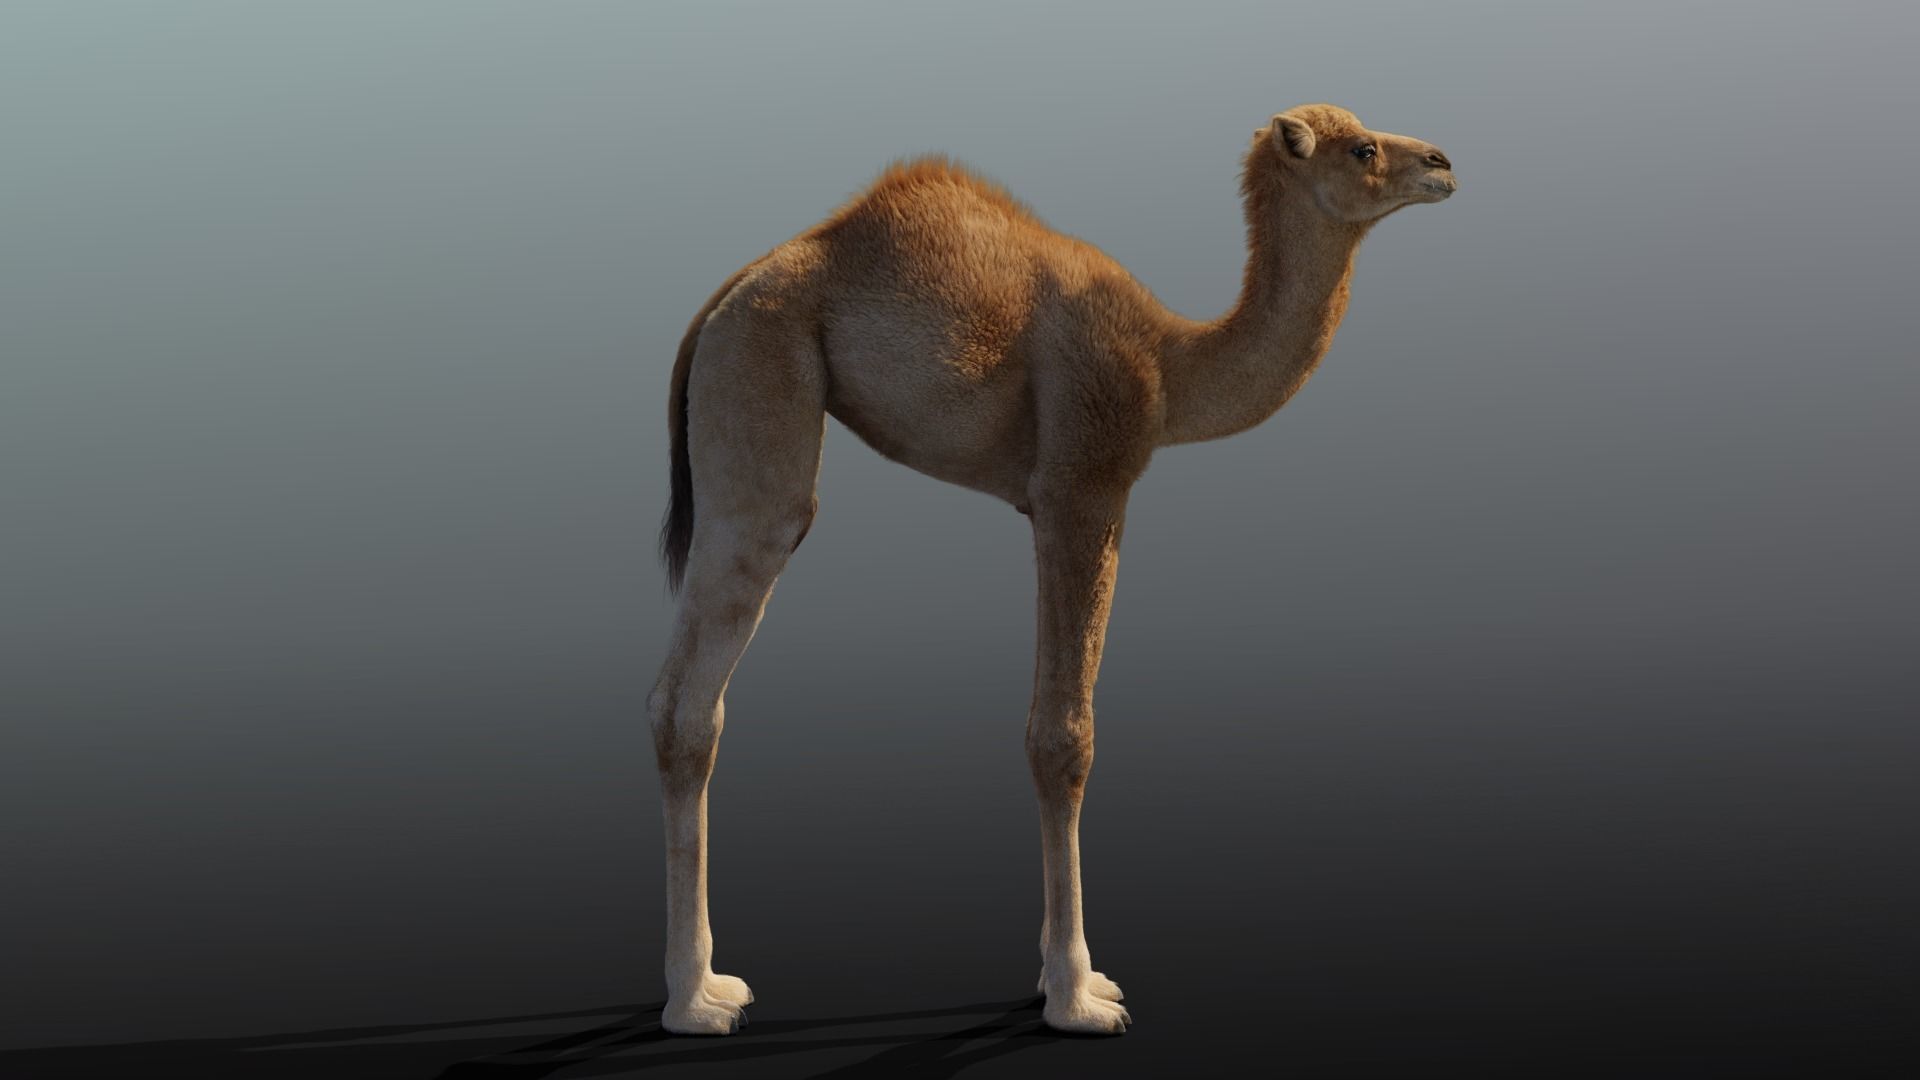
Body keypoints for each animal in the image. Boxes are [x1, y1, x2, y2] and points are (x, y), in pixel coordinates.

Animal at [646, 104, 1455, 1035]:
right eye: (1363, 149)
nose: (1442, 163)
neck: (1170, 362)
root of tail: (726, 295)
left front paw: (1061, 976)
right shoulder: (1082, 485)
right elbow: (1063, 738)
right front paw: (1077, 995)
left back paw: (708, 983)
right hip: (760, 372)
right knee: (700, 678)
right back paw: (694, 1000)